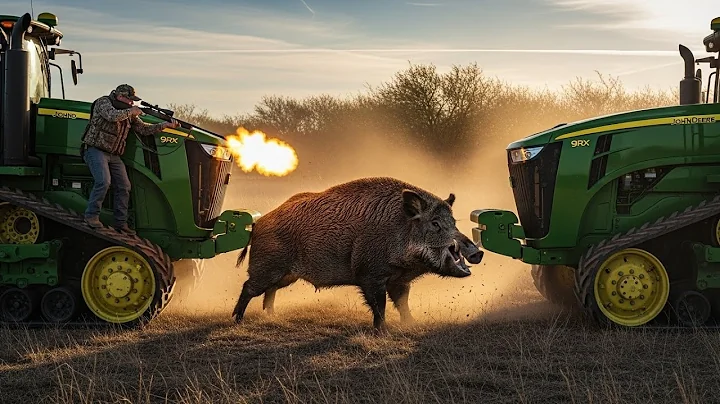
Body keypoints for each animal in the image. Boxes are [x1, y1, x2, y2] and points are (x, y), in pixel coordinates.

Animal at [232, 177, 483, 330]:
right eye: (435, 224)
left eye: (453, 222)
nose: (476, 252)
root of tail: (257, 223)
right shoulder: (369, 274)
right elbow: (379, 304)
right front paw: (383, 331)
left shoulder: (399, 280)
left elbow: (402, 302)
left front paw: (412, 324)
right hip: (266, 266)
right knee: (249, 287)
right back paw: (237, 320)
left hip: (286, 275)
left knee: (270, 291)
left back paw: (272, 316)